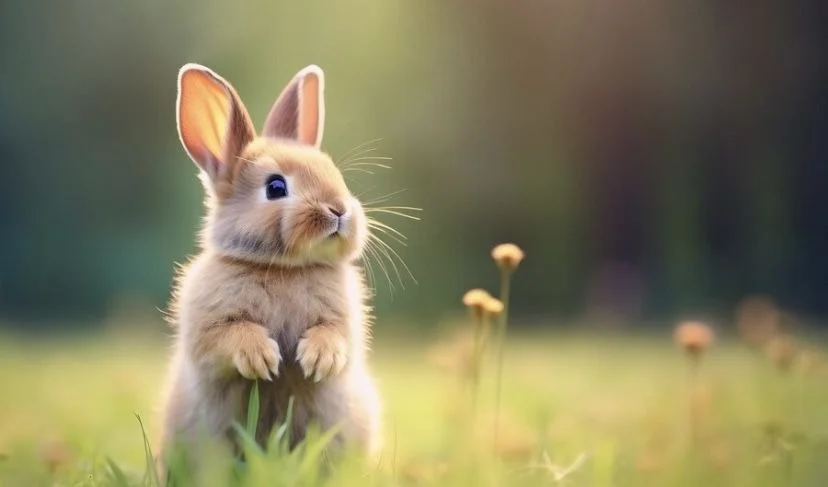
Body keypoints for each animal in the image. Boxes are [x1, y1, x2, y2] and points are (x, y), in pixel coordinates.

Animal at [157, 63, 381, 471]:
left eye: (333, 172)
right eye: (276, 187)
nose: (339, 210)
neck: (283, 268)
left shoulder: (344, 322)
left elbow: (335, 334)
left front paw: (318, 360)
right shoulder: (207, 329)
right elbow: (227, 336)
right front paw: (261, 358)